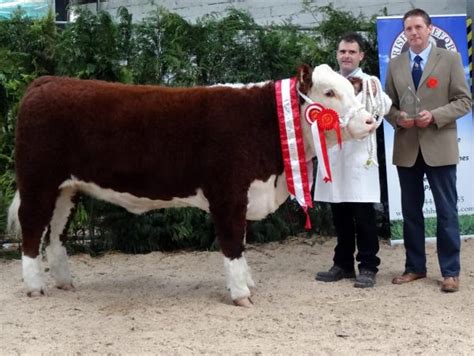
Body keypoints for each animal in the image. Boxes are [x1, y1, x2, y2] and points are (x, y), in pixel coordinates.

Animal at [7, 63, 376, 306]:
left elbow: (242, 242)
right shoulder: (227, 194)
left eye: (352, 89)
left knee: (55, 235)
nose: (370, 120)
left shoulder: (243, 195)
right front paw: (241, 294)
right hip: (38, 181)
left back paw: (64, 283)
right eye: (329, 92)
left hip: (66, 190)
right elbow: (232, 243)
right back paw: (34, 287)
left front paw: (248, 284)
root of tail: (47, 82)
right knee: (31, 230)